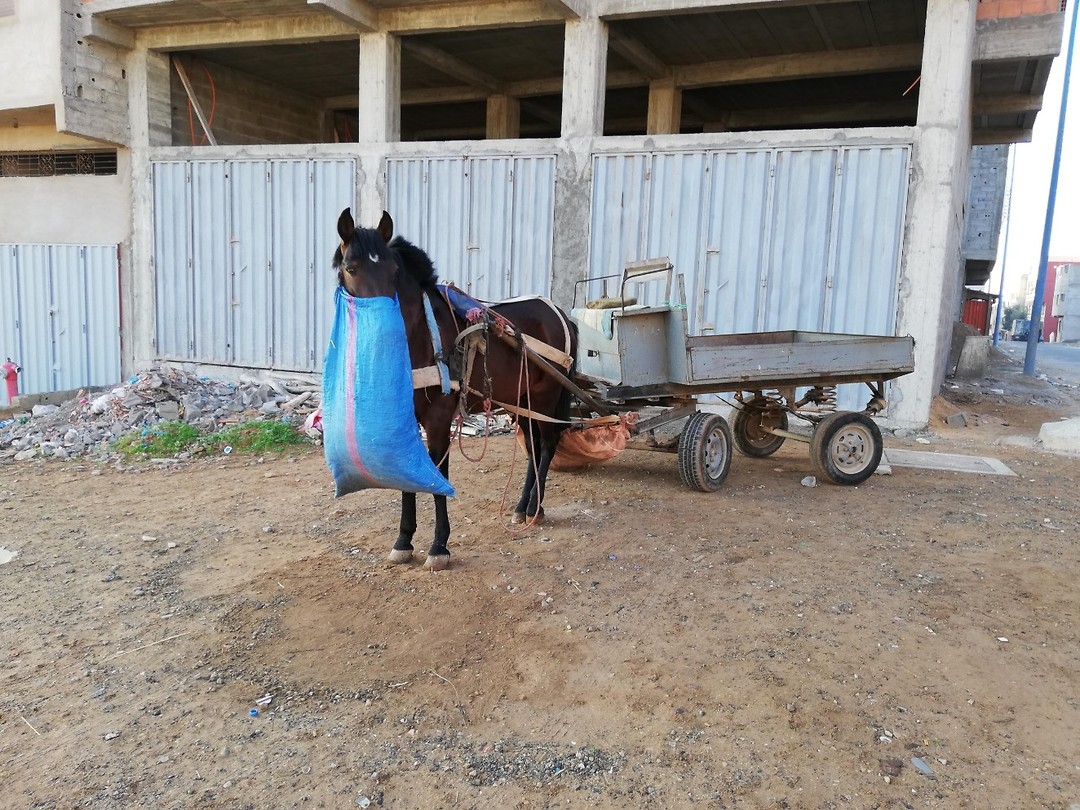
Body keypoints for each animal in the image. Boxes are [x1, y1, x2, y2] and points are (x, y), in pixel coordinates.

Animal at [333, 208, 578, 571]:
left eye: (393, 270)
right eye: (351, 268)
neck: (421, 336)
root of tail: (560, 313)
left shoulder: (438, 418)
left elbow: (439, 473)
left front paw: (439, 547)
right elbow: (409, 473)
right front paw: (403, 541)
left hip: (546, 398)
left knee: (546, 446)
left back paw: (535, 507)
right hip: (520, 399)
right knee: (533, 447)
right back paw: (522, 507)